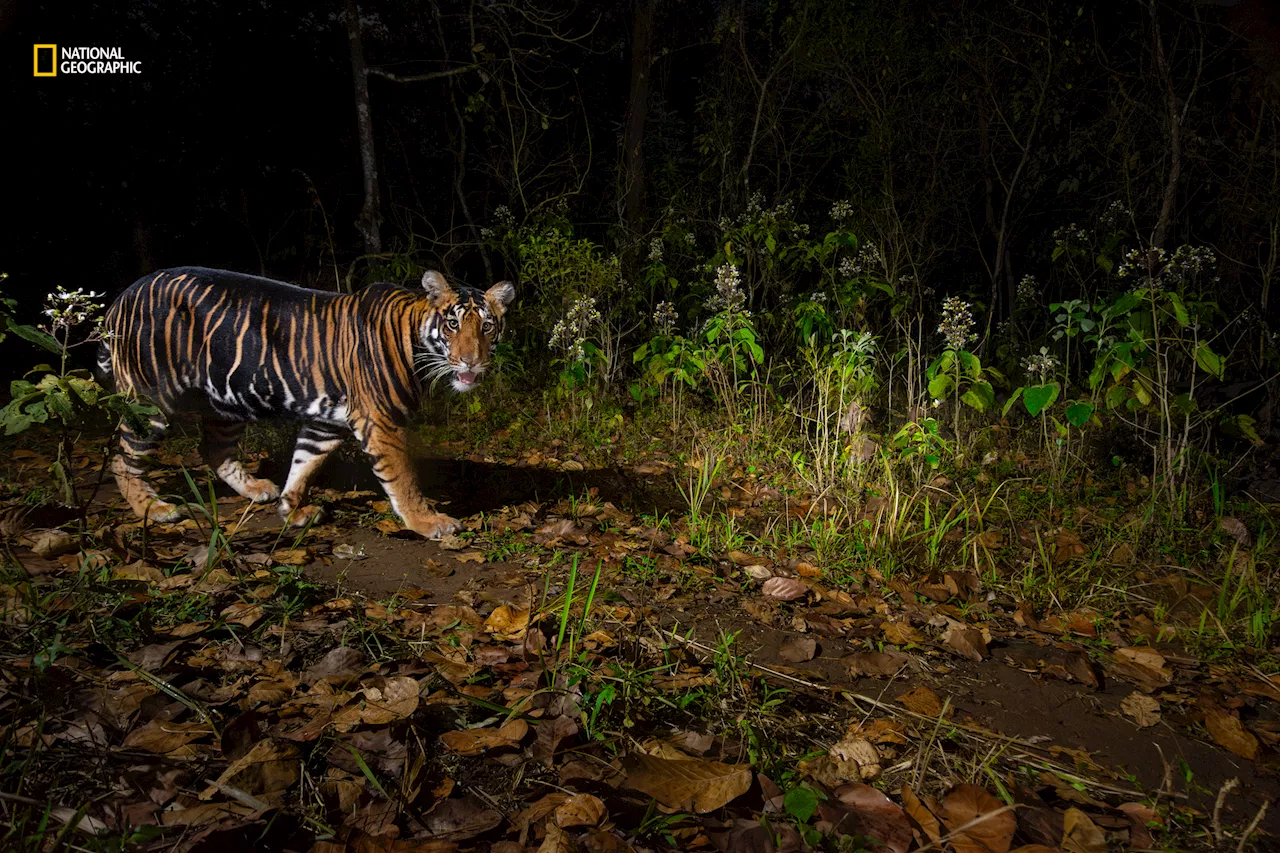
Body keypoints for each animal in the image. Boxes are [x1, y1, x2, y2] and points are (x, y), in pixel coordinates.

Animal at [96, 263, 514, 537]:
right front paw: (429, 522)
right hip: (150, 400)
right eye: (453, 324)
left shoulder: (325, 423)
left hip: (226, 401)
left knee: (213, 449)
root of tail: (121, 297)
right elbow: (403, 478)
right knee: (122, 457)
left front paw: (291, 510)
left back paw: (256, 490)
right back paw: (156, 509)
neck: (416, 339)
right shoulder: (381, 422)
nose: (472, 361)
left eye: (487, 326)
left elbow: (304, 464)